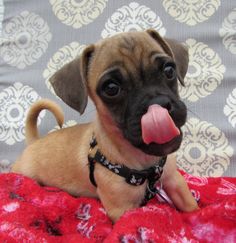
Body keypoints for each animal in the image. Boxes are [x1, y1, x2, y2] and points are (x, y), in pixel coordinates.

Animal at [12, 29, 198, 221]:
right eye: (111, 88)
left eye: (169, 70)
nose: (157, 103)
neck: (145, 163)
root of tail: (34, 141)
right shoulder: (122, 209)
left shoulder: (174, 181)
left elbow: (191, 207)